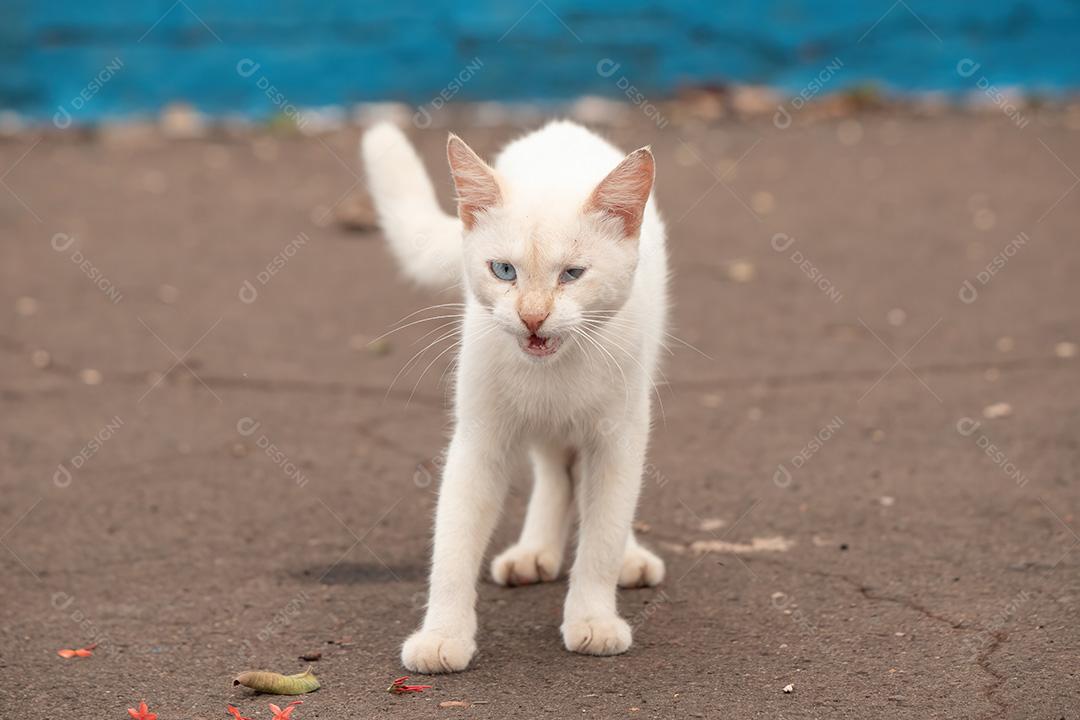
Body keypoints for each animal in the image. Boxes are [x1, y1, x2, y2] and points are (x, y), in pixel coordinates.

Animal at [362, 119, 665, 677]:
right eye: (503, 271)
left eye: (572, 274)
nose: (532, 316)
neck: (556, 370)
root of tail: (561, 128)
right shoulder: (478, 438)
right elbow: (454, 540)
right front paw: (443, 634)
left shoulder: (619, 435)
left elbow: (604, 531)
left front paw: (593, 617)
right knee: (555, 471)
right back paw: (535, 548)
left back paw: (626, 556)